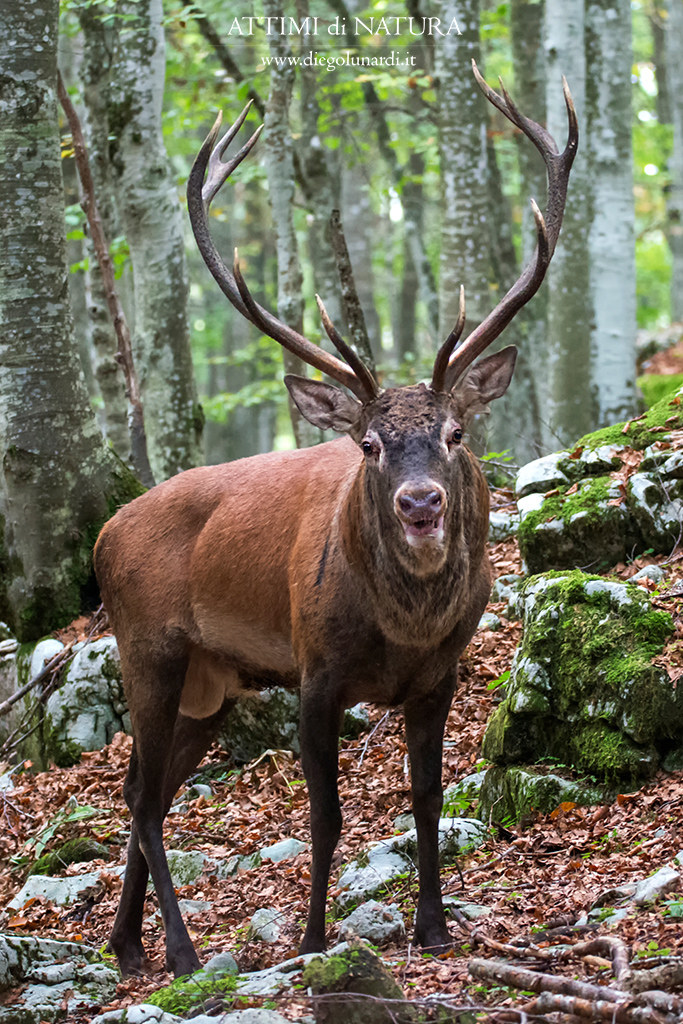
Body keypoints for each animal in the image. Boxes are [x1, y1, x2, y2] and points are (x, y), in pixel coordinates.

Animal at [94, 62, 577, 979]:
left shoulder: (440, 677)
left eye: (455, 433)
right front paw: (315, 939)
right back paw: (179, 949)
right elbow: (325, 816)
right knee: (137, 797)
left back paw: (126, 944)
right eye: (368, 444)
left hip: (211, 687)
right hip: (148, 649)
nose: (420, 503)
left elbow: (426, 798)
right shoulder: (313, 672)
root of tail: (101, 537)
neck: (400, 632)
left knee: (148, 788)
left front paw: (434, 928)